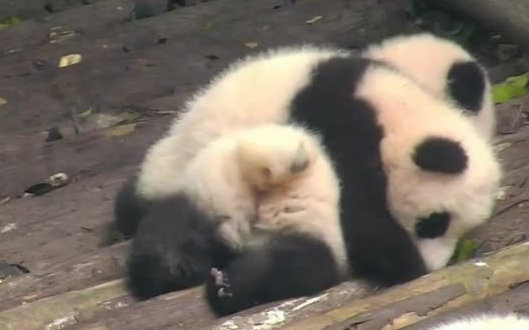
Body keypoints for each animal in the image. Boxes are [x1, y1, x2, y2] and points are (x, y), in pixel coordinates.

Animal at [109, 45, 502, 316]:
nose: (428, 268)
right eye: (434, 222)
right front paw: (398, 257)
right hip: (177, 166)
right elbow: (359, 218)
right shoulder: (342, 130)